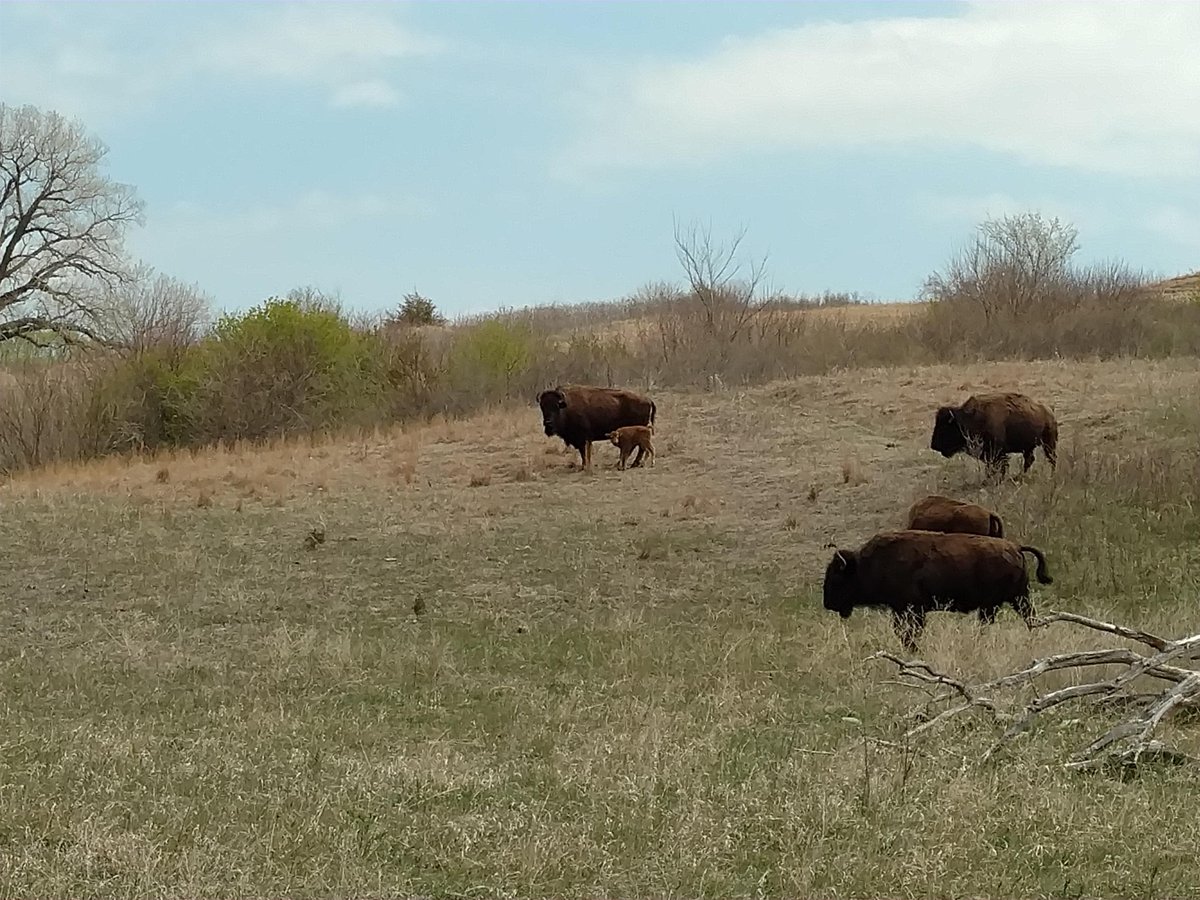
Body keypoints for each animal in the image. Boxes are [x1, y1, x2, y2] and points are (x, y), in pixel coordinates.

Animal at [822, 529, 1053, 652]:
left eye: (836, 577)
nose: (828, 603)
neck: (865, 565)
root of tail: (1015, 547)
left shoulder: (912, 609)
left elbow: (909, 632)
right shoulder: (901, 610)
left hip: (997, 603)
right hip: (1015, 599)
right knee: (1029, 618)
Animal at [930, 391, 1058, 480]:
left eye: (945, 428)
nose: (933, 445)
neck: (969, 418)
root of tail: (1049, 411)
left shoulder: (997, 452)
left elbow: (1000, 466)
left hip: (1048, 443)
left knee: (1051, 458)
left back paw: (1051, 475)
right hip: (1029, 447)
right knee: (1030, 460)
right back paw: (1019, 476)